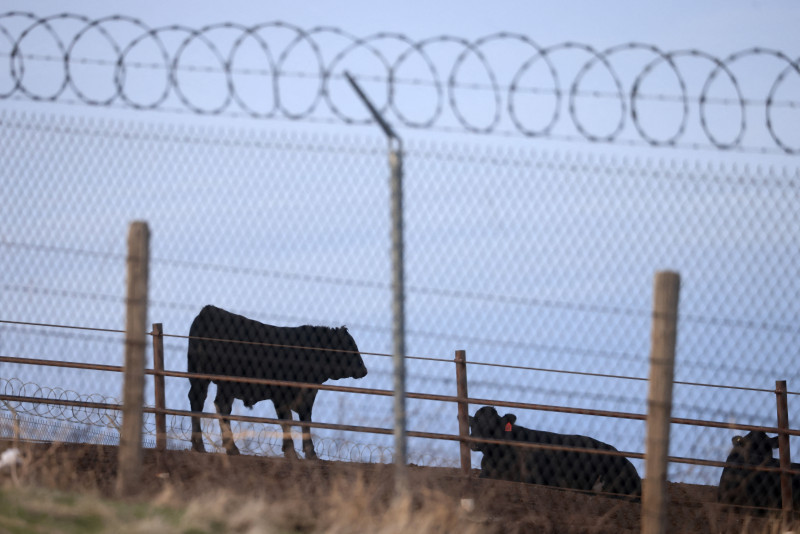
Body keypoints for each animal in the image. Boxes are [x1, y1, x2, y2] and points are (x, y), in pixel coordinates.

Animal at [188, 306, 366, 460]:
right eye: (349, 346)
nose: (364, 370)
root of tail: (208, 310)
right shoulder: (281, 395)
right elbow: (287, 420)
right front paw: (291, 452)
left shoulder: (308, 395)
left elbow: (305, 421)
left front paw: (310, 453)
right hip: (207, 378)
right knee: (204, 402)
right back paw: (206, 446)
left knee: (219, 406)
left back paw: (223, 447)